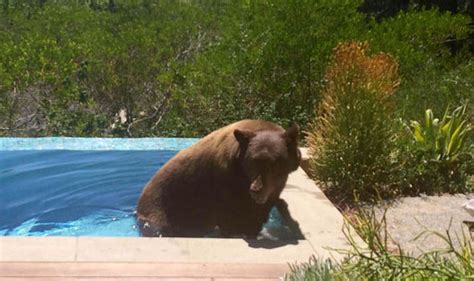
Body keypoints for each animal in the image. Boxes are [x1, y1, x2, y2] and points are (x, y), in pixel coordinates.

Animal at [136, 118, 300, 236]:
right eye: (253, 161)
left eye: (274, 163)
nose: (256, 190)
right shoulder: (226, 182)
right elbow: (233, 220)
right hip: (164, 209)